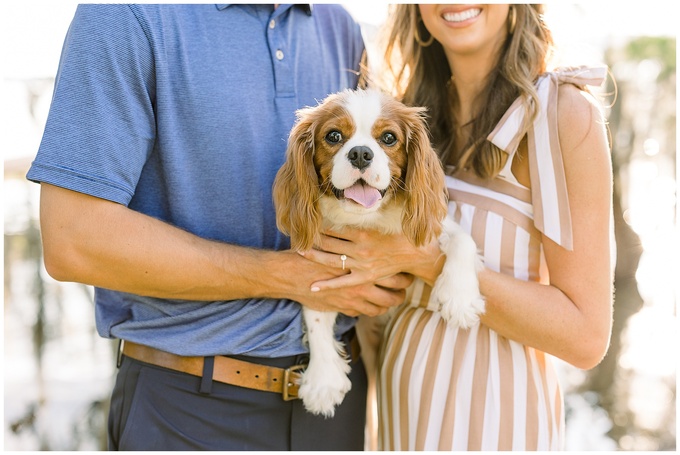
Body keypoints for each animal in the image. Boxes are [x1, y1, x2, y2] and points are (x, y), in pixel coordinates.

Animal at [270, 87, 484, 418]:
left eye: (388, 138)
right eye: (333, 136)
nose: (360, 153)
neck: (367, 219)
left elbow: (463, 241)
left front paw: (459, 298)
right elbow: (315, 312)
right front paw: (323, 379)